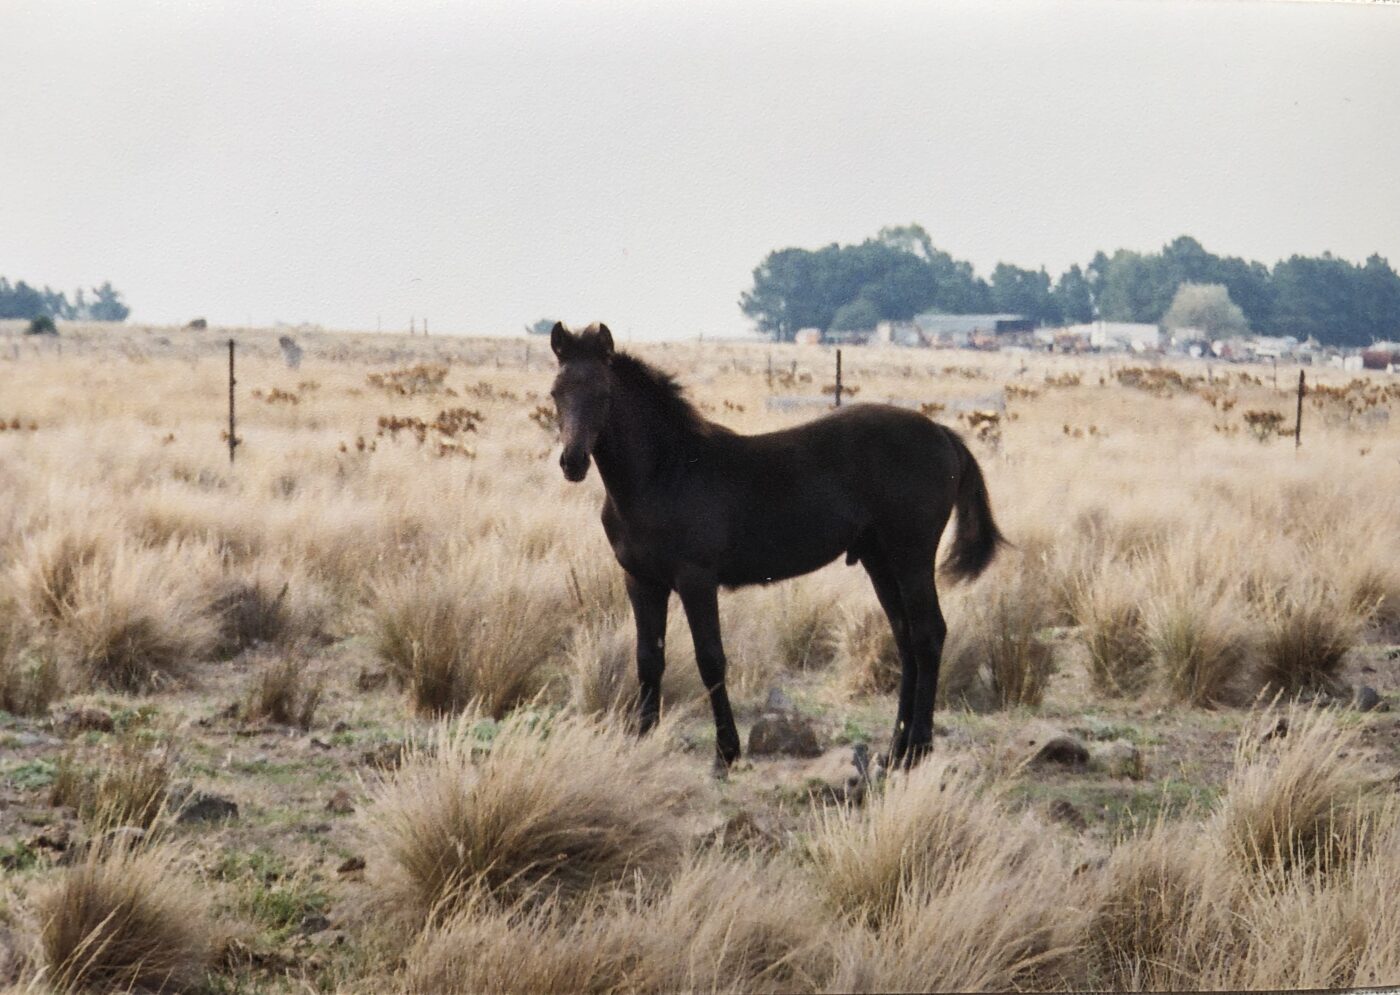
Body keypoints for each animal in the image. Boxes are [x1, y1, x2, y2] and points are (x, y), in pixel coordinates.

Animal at [548, 321, 1005, 770]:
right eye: (556, 393)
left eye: (604, 395)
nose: (572, 463)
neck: (665, 473)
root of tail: (943, 433)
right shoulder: (641, 581)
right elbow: (648, 659)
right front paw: (643, 739)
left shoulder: (696, 580)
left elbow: (710, 659)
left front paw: (726, 753)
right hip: (880, 561)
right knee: (906, 637)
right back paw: (895, 748)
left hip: (912, 556)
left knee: (928, 634)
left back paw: (918, 749)